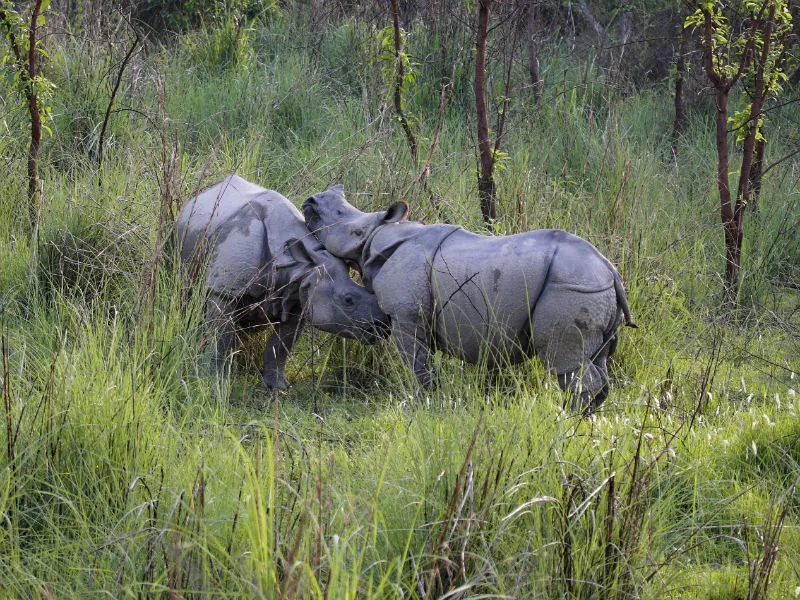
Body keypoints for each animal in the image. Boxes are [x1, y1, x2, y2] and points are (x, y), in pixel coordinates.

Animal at [176, 175, 390, 389]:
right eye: (348, 300)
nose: (382, 326)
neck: (298, 265)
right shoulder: (225, 290)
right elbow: (220, 338)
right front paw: (211, 380)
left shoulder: (301, 292)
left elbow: (281, 345)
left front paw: (279, 387)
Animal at [303, 185, 635, 410]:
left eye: (343, 218)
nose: (311, 201)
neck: (376, 234)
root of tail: (609, 270)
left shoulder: (407, 316)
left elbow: (416, 362)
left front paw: (424, 400)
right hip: (594, 290)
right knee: (599, 360)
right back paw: (587, 417)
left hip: (572, 287)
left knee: (569, 364)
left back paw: (568, 418)